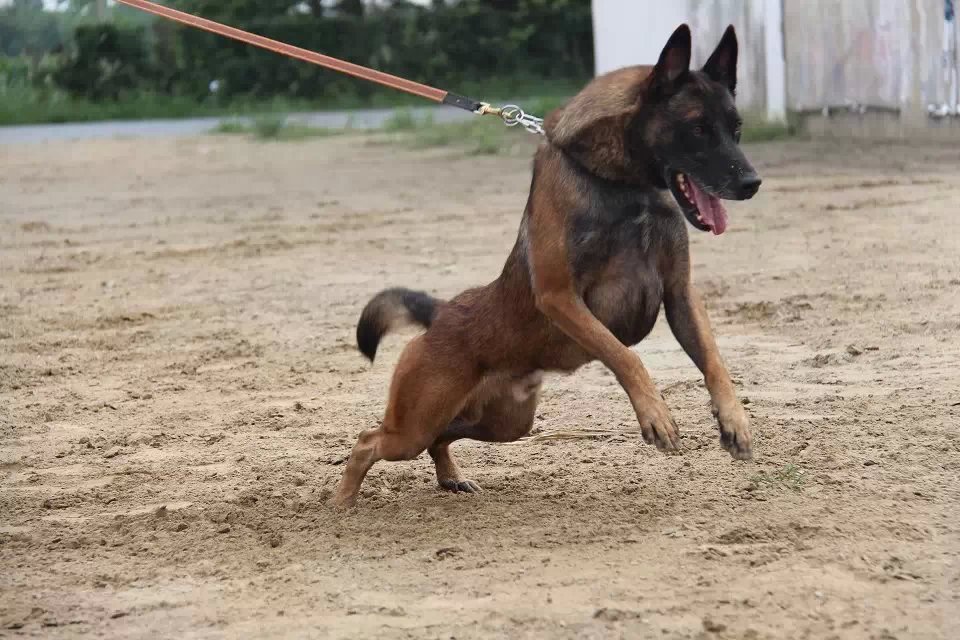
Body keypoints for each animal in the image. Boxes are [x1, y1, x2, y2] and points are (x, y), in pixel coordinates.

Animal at [334, 22, 760, 508]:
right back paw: (342, 503)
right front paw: (655, 413)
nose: (752, 183)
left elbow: (713, 360)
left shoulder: (680, 294)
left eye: (736, 129)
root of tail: (441, 312)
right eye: (697, 129)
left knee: (439, 438)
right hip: (416, 423)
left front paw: (734, 419)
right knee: (369, 441)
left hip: (504, 423)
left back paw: (450, 478)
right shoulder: (561, 298)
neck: (621, 184)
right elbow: (625, 355)